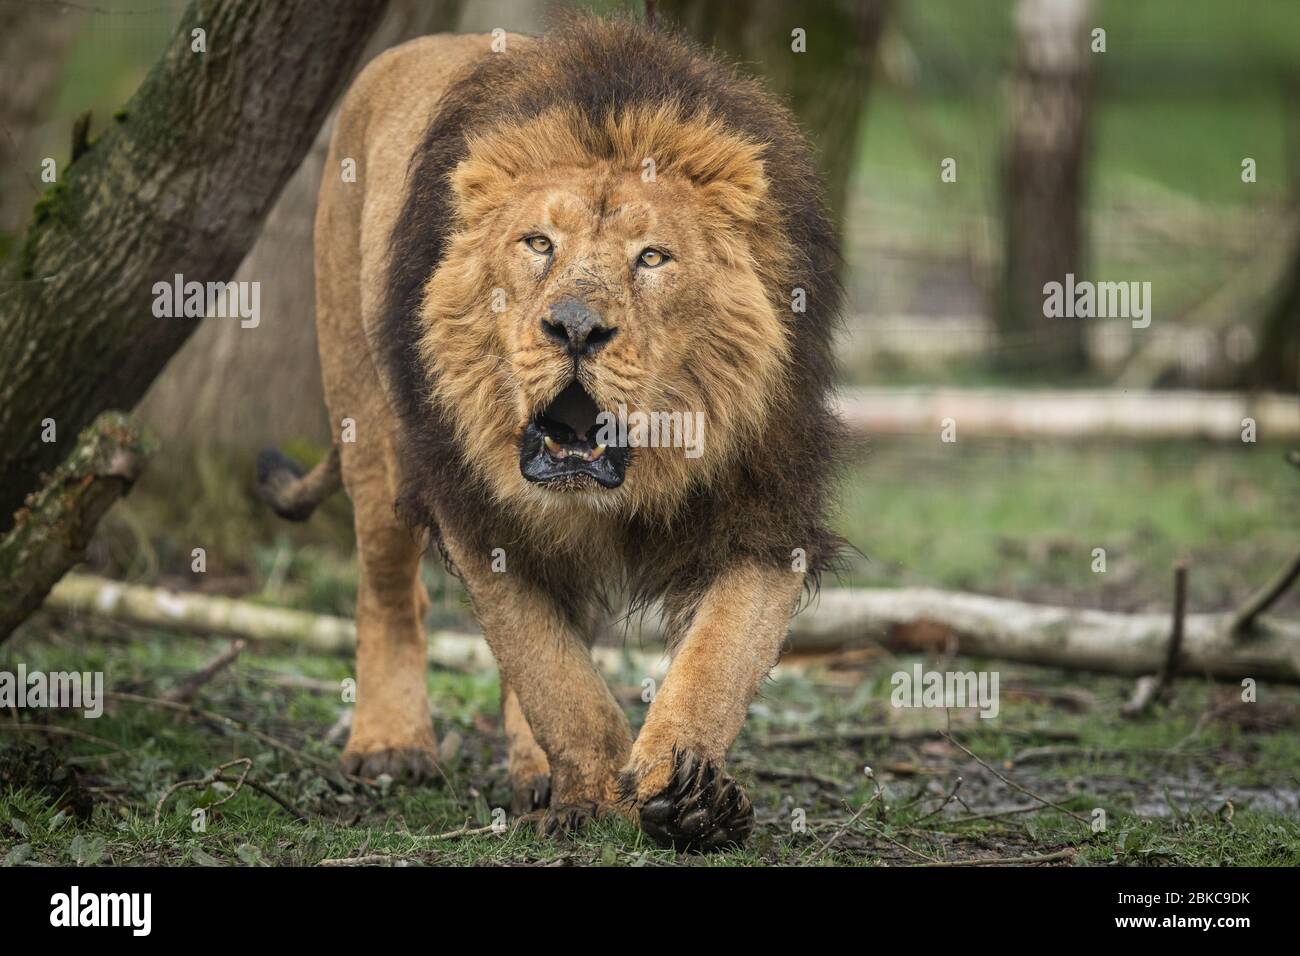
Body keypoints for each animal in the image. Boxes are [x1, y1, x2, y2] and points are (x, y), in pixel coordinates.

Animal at [258, 17, 845, 852]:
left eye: (652, 257)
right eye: (538, 244)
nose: (574, 327)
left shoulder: (765, 509)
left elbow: (718, 659)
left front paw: (689, 793)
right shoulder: (475, 510)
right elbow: (554, 674)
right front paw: (592, 798)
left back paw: (536, 771)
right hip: (363, 416)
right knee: (390, 590)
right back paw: (390, 745)